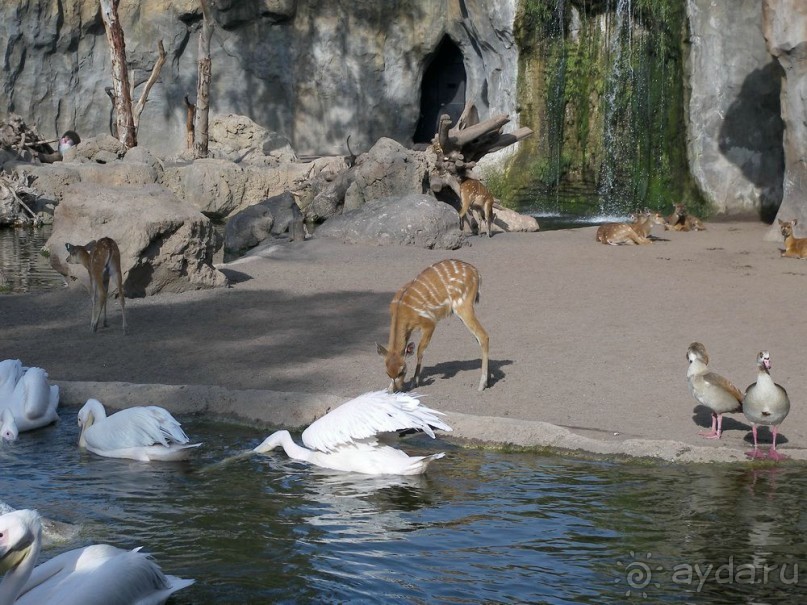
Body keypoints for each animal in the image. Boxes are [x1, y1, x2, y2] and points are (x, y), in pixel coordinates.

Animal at [376, 258, 490, 392]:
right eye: (388, 373)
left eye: (402, 371)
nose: (396, 389)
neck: (402, 310)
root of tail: (476, 273)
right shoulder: (408, 330)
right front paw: (389, 388)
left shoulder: (429, 323)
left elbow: (420, 350)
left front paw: (414, 382)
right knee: (478, 338)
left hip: (463, 306)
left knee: (483, 336)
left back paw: (482, 384)